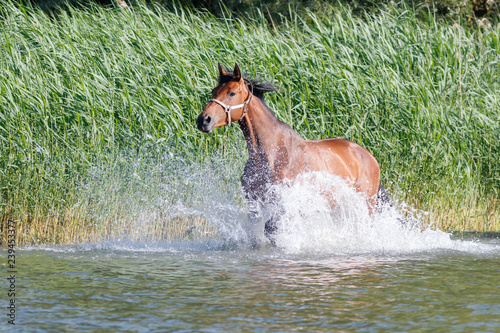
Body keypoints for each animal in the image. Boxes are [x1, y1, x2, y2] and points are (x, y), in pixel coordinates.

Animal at [197, 63, 384, 244]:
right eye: (214, 91)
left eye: (232, 93)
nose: (203, 120)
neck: (271, 153)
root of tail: (368, 156)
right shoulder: (254, 203)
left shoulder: (284, 205)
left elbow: (272, 229)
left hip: (366, 204)